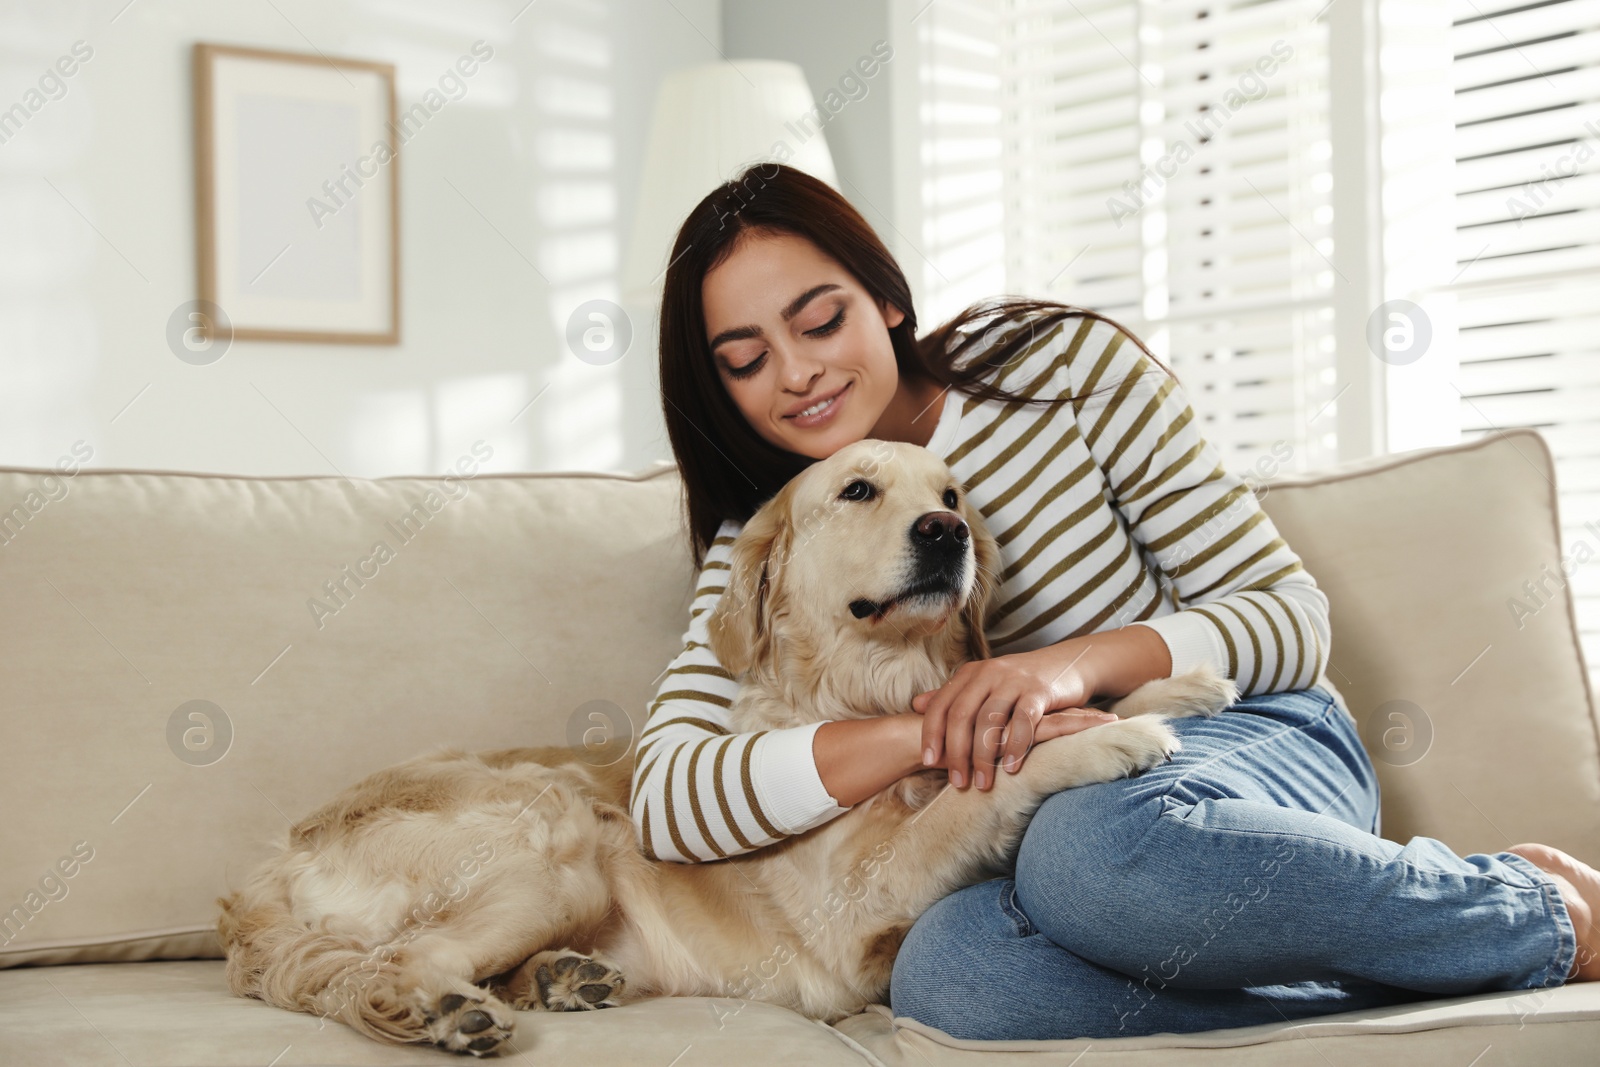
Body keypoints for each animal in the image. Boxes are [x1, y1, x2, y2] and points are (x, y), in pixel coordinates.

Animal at [216, 438, 1235, 1055]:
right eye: (857, 489)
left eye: (952, 495)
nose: (946, 531)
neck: (874, 688)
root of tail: (266, 866)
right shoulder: (851, 914)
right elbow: (973, 791)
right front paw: (1102, 733)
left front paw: (1174, 682)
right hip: (554, 841)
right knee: (399, 961)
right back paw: (453, 1012)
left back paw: (560, 977)